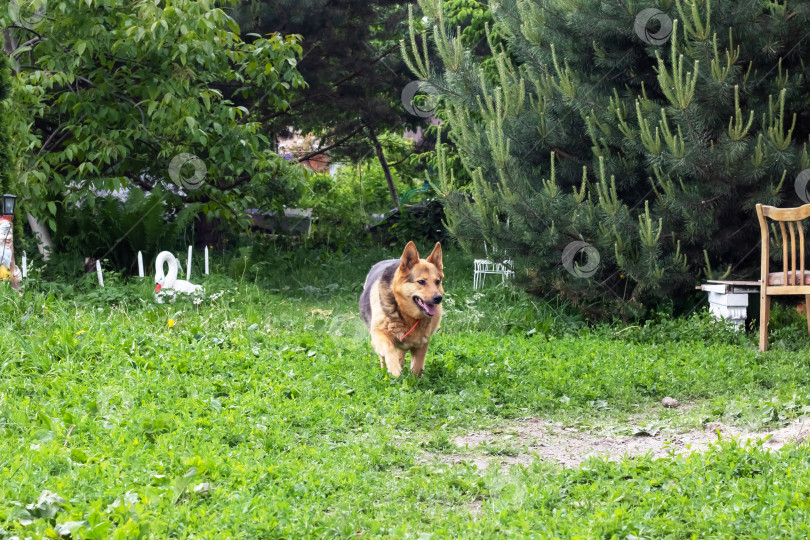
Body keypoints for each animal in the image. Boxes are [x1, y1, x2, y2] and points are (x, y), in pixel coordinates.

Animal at [360, 242, 446, 376]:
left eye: (437, 282)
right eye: (421, 282)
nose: (438, 298)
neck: (405, 313)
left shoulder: (422, 344)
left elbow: (417, 367)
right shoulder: (379, 334)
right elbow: (389, 347)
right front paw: (394, 368)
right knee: (383, 357)